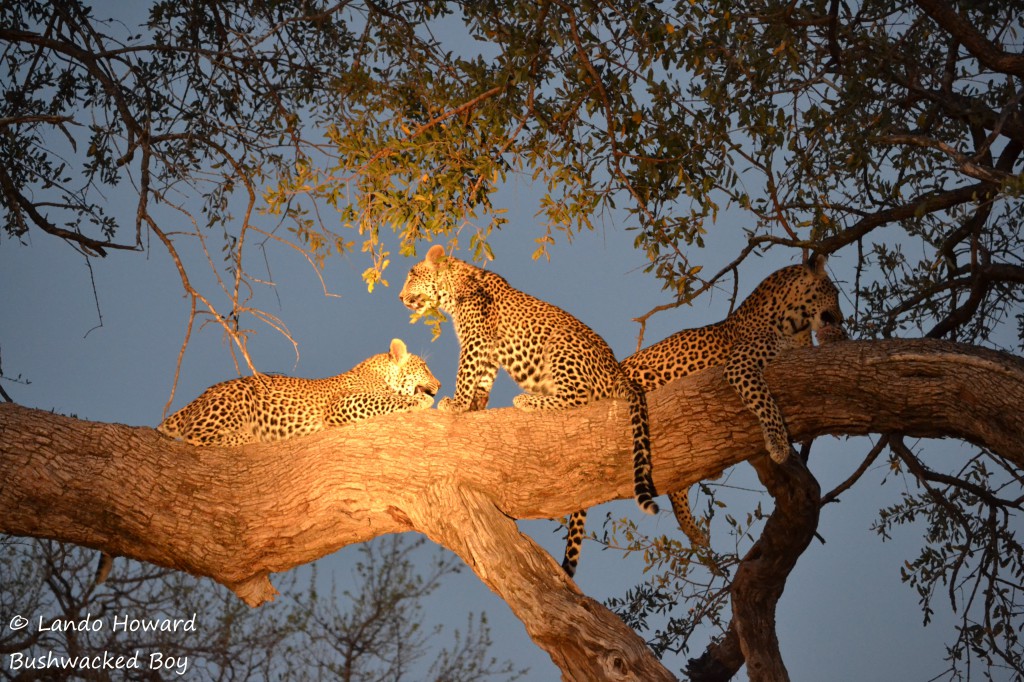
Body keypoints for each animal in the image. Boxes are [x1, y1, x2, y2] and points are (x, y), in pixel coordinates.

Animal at [156, 335, 440, 446]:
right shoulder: (341, 404)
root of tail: (198, 398)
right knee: (194, 435)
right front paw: (420, 401)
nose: (439, 385)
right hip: (239, 395)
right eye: (425, 367)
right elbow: (386, 400)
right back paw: (250, 437)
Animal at [395, 244, 659, 573]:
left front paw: (456, 404)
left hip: (560, 343)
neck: (454, 287)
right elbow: (483, 379)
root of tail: (617, 372)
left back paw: (527, 400)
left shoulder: (475, 339)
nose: (400, 297)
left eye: (412, 276)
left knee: (579, 395)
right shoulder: (488, 349)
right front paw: (473, 408)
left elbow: (466, 373)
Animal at [618, 254, 843, 548]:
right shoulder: (739, 365)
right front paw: (778, 444)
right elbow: (765, 402)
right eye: (835, 293)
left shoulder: (803, 351)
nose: (842, 319)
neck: (794, 322)